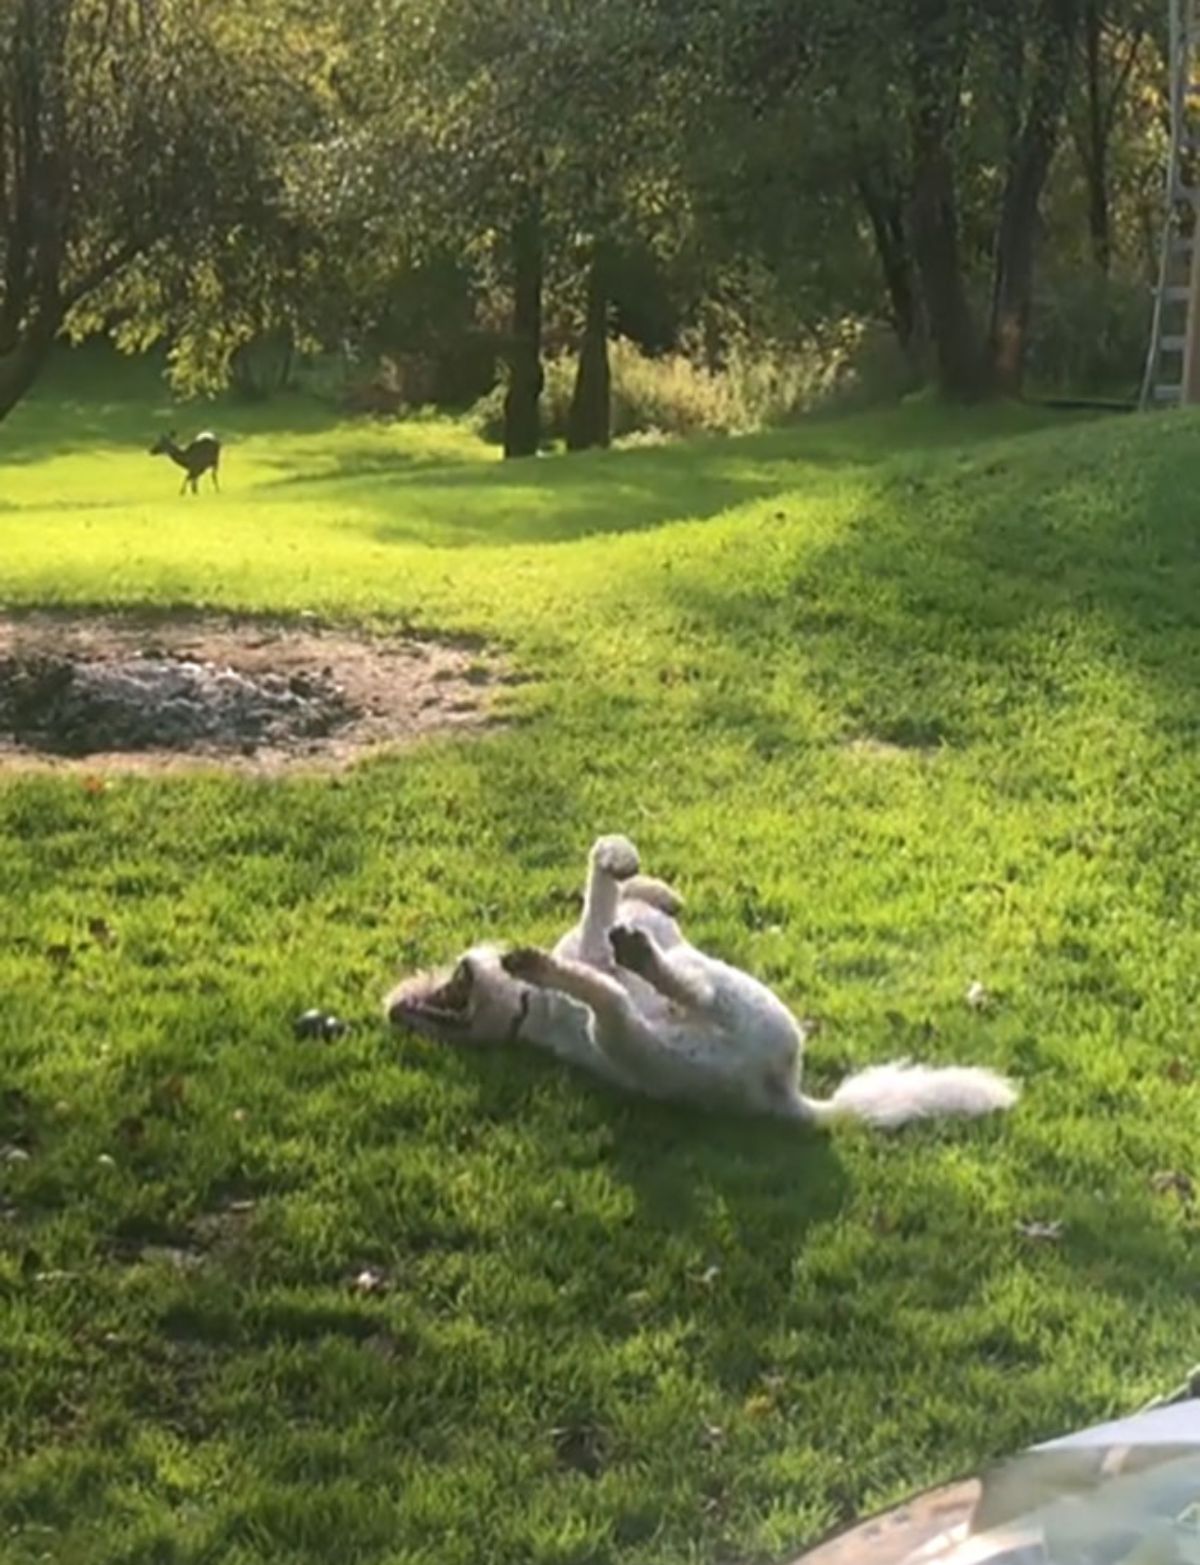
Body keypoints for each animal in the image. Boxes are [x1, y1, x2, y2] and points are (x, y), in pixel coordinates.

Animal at [388, 832, 1026, 1126]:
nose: (395, 1009)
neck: (532, 1008)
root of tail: (781, 1096)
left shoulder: (598, 935)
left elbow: (610, 887)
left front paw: (622, 861)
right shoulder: (592, 945)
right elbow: (601, 908)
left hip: (670, 1021)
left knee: (650, 991)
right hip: (645, 1030)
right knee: (637, 995)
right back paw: (617, 963)